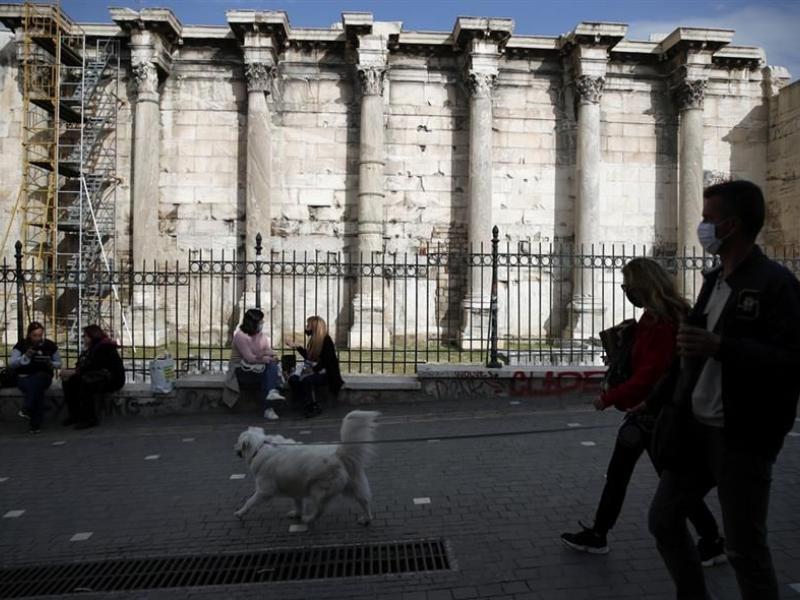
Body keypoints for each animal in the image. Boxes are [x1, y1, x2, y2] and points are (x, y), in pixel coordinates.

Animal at [233, 412, 380, 524]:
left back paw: (309, 519)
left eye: (238, 442)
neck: (260, 447)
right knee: (365, 501)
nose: (234, 448)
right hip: (355, 485)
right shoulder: (295, 487)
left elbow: (249, 501)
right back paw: (366, 519)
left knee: (320, 510)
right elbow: (299, 504)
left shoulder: (264, 491)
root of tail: (339, 454)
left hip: (318, 489)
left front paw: (240, 513)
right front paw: (297, 514)